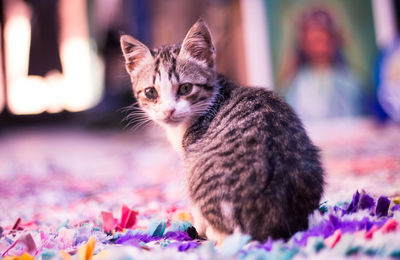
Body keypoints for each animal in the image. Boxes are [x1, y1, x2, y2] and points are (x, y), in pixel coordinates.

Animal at [120, 19, 324, 243]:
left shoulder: (189, 158)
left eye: (185, 88)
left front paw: (198, 226)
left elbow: (195, 208)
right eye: (150, 92)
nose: (168, 110)